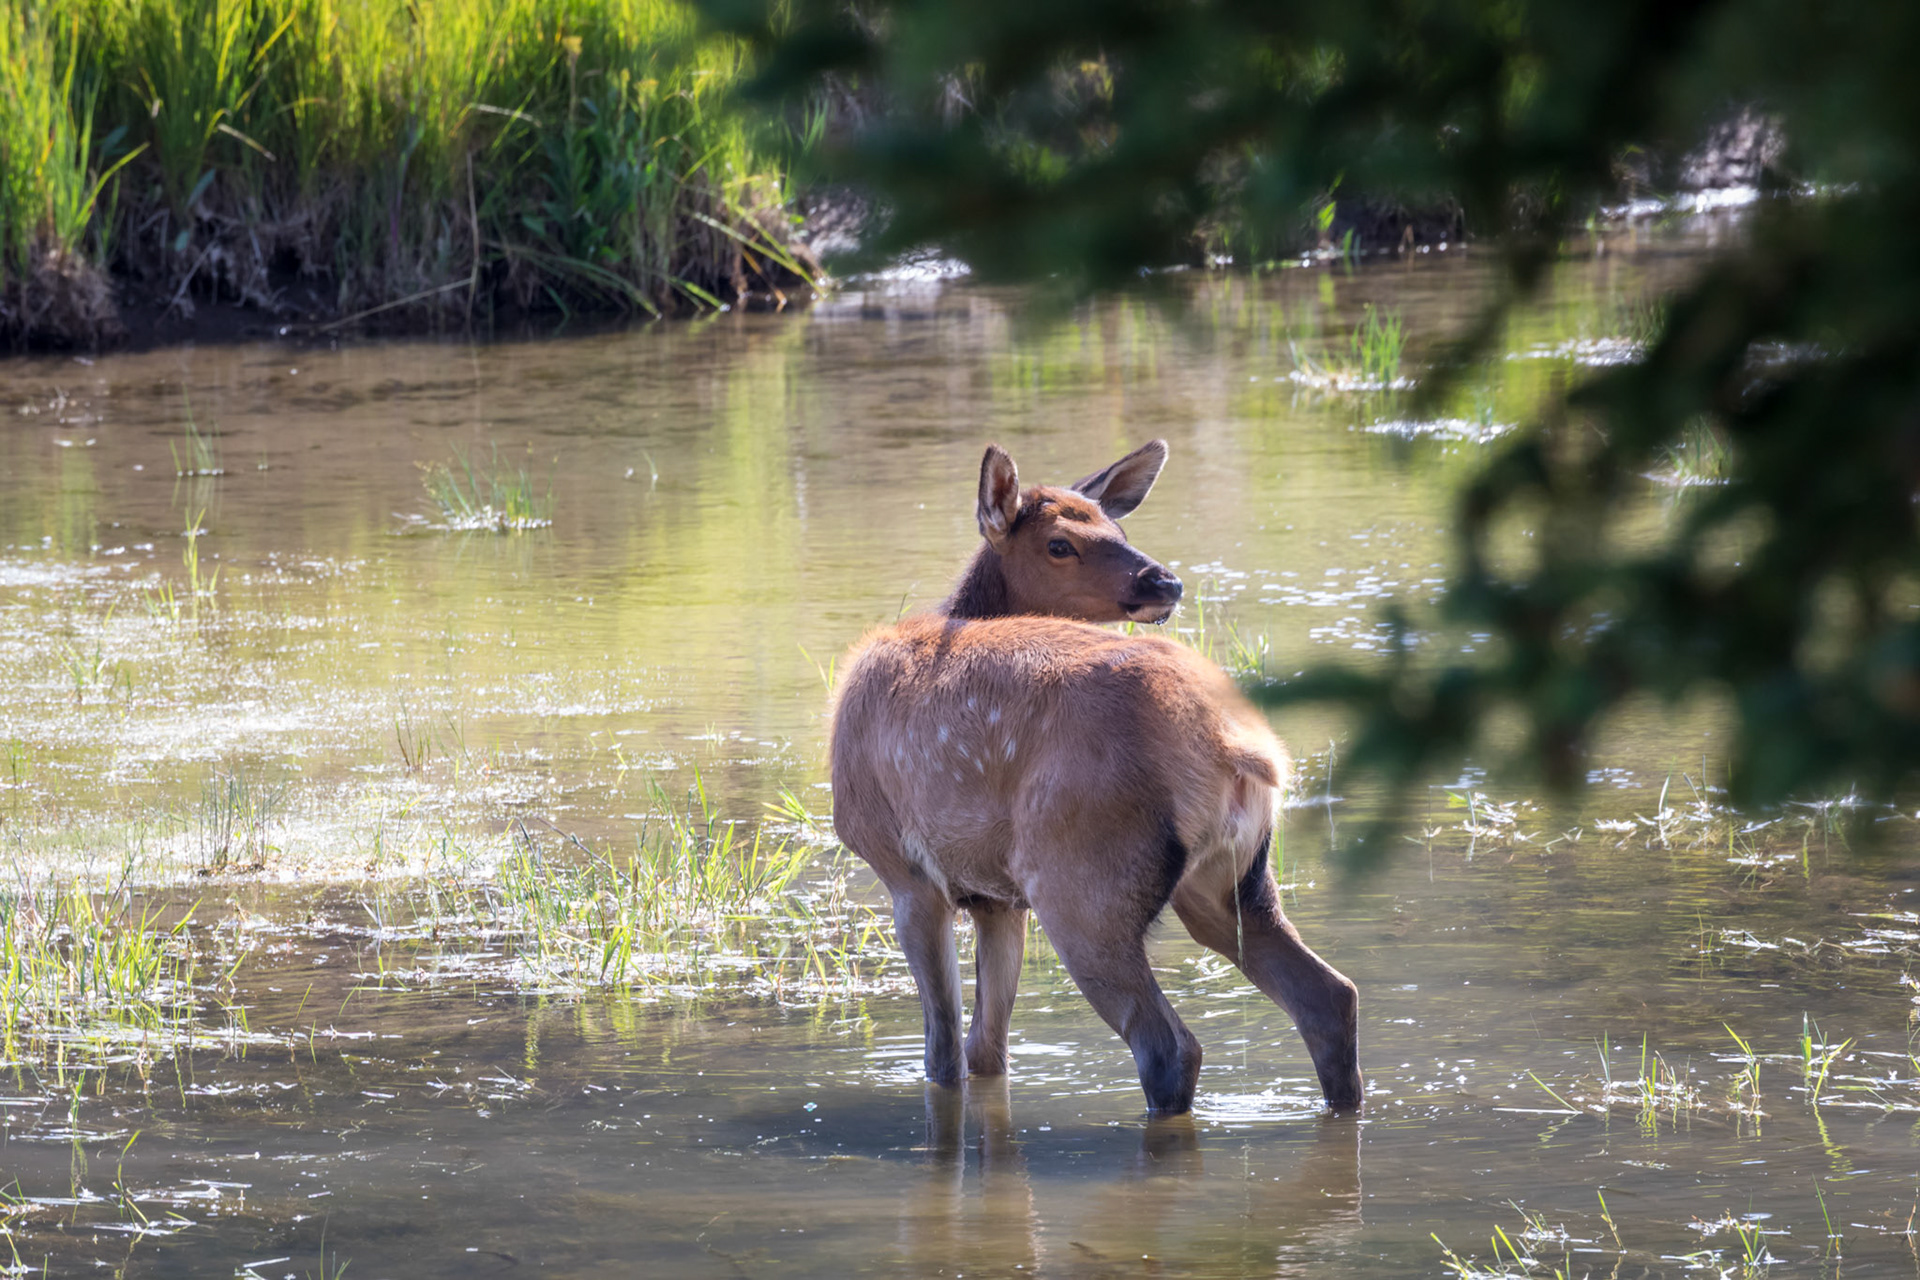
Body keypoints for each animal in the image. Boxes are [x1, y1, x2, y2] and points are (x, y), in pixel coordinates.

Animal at [829, 440, 1363, 1115]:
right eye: (1060, 543)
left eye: (1118, 529)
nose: (1163, 581)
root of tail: (1241, 748)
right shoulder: (996, 897)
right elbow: (987, 1049)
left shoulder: (905, 870)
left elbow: (944, 1054)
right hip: (1233, 880)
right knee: (1329, 995)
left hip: (1082, 880)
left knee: (1168, 1044)